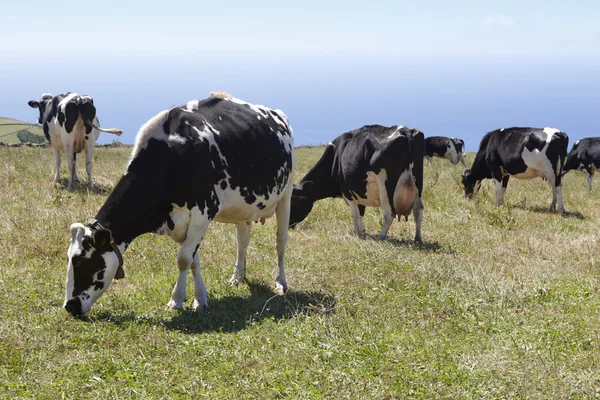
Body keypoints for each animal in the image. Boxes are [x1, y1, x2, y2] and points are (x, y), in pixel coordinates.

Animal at [63, 93, 296, 316]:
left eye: (82, 262)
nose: (70, 306)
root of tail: (277, 114)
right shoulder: (179, 221)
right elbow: (193, 259)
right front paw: (200, 299)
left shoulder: (203, 213)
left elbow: (183, 259)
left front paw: (176, 301)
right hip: (243, 208)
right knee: (243, 240)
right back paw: (237, 277)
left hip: (285, 195)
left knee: (281, 240)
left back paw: (281, 282)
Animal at [288, 125, 424, 242]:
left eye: (294, 202)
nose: (288, 224)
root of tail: (406, 131)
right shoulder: (359, 191)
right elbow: (361, 212)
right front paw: (362, 232)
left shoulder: (348, 190)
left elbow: (355, 213)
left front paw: (357, 232)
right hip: (418, 182)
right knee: (418, 211)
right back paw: (417, 238)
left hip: (385, 186)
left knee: (389, 213)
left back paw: (380, 237)